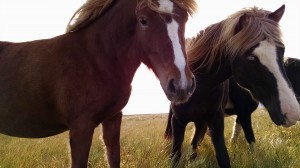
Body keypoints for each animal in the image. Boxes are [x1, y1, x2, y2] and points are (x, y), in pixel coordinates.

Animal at [0, 0, 197, 167]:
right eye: (143, 20)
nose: (182, 85)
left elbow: (114, 158)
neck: (94, 59)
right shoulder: (81, 128)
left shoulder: (113, 118)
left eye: (185, 19)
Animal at [164, 4, 300, 167]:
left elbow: (226, 153)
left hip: (201, 121)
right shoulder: (178, 122)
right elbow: (175, 157)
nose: (292, 112)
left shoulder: (218, 120)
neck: (199, 87)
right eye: (251, 57)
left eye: (282, 49)